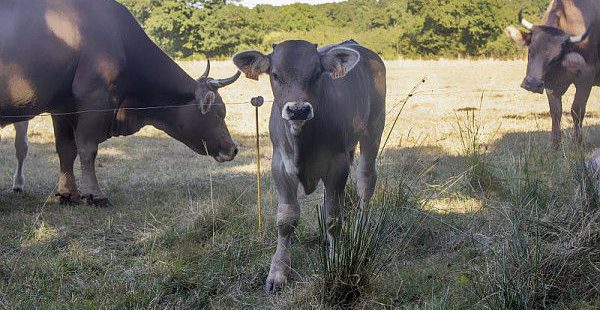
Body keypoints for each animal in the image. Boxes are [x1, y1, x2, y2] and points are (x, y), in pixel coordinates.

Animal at [0, 1, 239, 207]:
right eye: (219, 113)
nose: (234, 149)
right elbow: (87, 147)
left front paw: (68, 193)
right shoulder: (95, 97)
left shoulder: (62, 107)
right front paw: (95, 195)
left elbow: (66, 149)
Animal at [232, 38, 386, 290]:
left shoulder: (337, 164)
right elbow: (286, 219)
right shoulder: (280, 165)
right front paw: (278, 271)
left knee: (366, 181)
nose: (298, 110)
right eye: (275, 74)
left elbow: (333, 218)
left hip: (374, 128)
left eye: (316, 74)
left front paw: (335, 260)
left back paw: (360, 230)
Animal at [506, 0, 600, 147]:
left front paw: (576, 143)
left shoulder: (586, 76)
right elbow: (555, 112)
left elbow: (577, 109)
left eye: (555, 57)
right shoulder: (550, 83)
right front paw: (555, 143)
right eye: (530, 49)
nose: (532, 85)